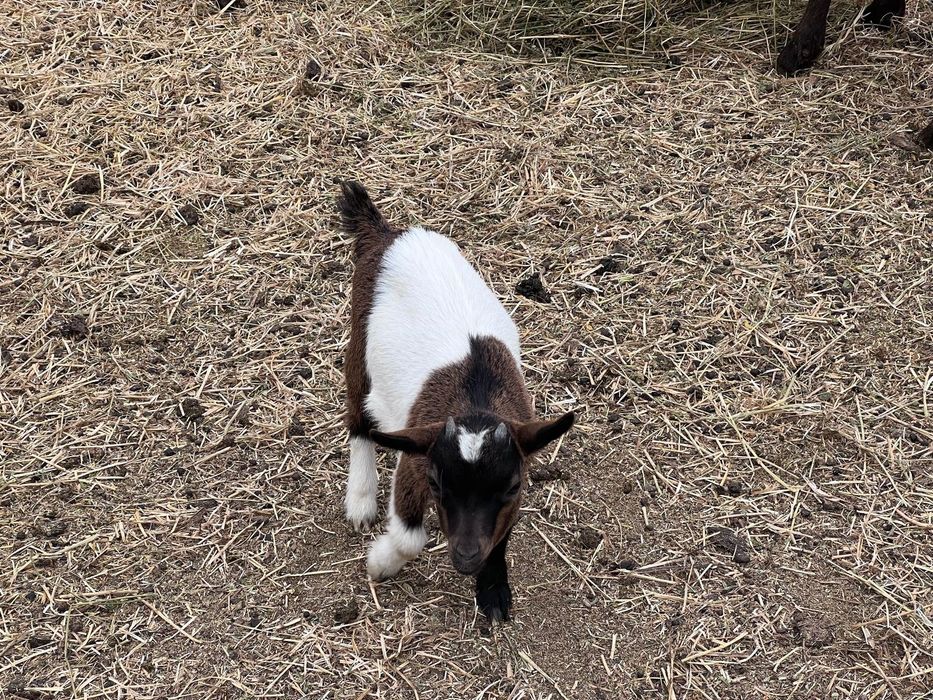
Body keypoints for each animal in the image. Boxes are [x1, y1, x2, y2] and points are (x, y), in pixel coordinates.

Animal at [338, 181, 574, 622]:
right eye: (435, 482)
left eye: (512, 486)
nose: (465, 558)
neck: (475, 400)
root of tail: (388, 234)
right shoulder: (416, 458)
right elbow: (409, 537)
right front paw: (380, 562)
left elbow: (501, 534)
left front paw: (493, 591)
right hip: (360, 340)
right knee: (359, 417)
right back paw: (360, 501)